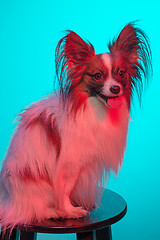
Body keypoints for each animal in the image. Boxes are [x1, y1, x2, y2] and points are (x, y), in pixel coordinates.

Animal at [0, 22, 152, 231]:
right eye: (98, 75)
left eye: (121, 73)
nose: (115, 89)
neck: (95, 108)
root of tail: (7, 201)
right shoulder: (68, 164)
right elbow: (64, 189)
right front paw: (69, 210)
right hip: (34, 187)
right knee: (31, 210)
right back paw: (52, 212)